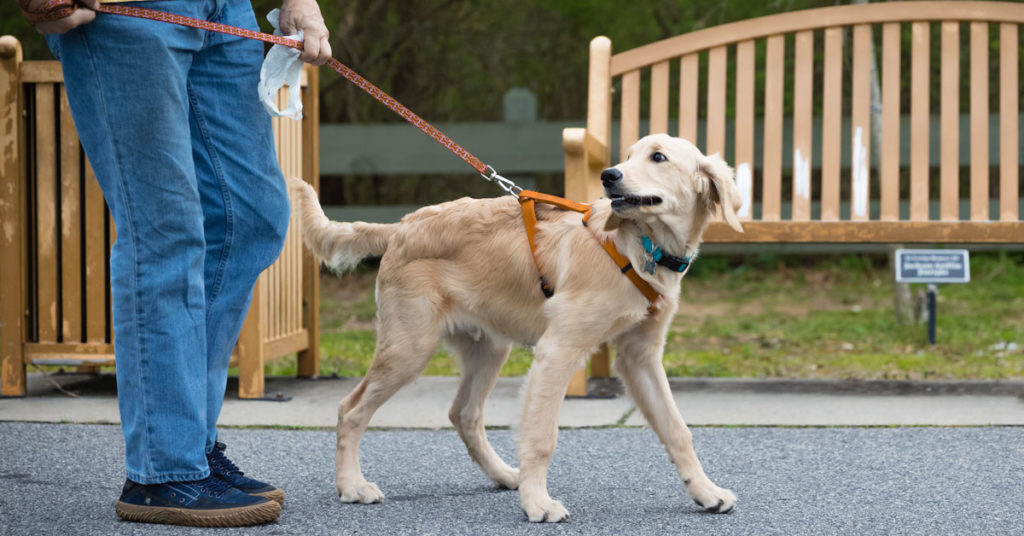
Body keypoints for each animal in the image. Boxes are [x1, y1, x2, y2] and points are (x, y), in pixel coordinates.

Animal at [288, 134, 745, 524]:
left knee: (464, 413)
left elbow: (677, 429)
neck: (642, 248)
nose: (608, 176)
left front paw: (705, 492)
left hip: (487, 348)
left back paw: (505, 475)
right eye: (628, 155)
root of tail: (403, 225)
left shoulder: (640, 357)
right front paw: (538, 503)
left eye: (658, 157)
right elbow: (541, 436)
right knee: (351, 409)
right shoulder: (558, 351)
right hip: (409, 348)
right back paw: (352, 486)